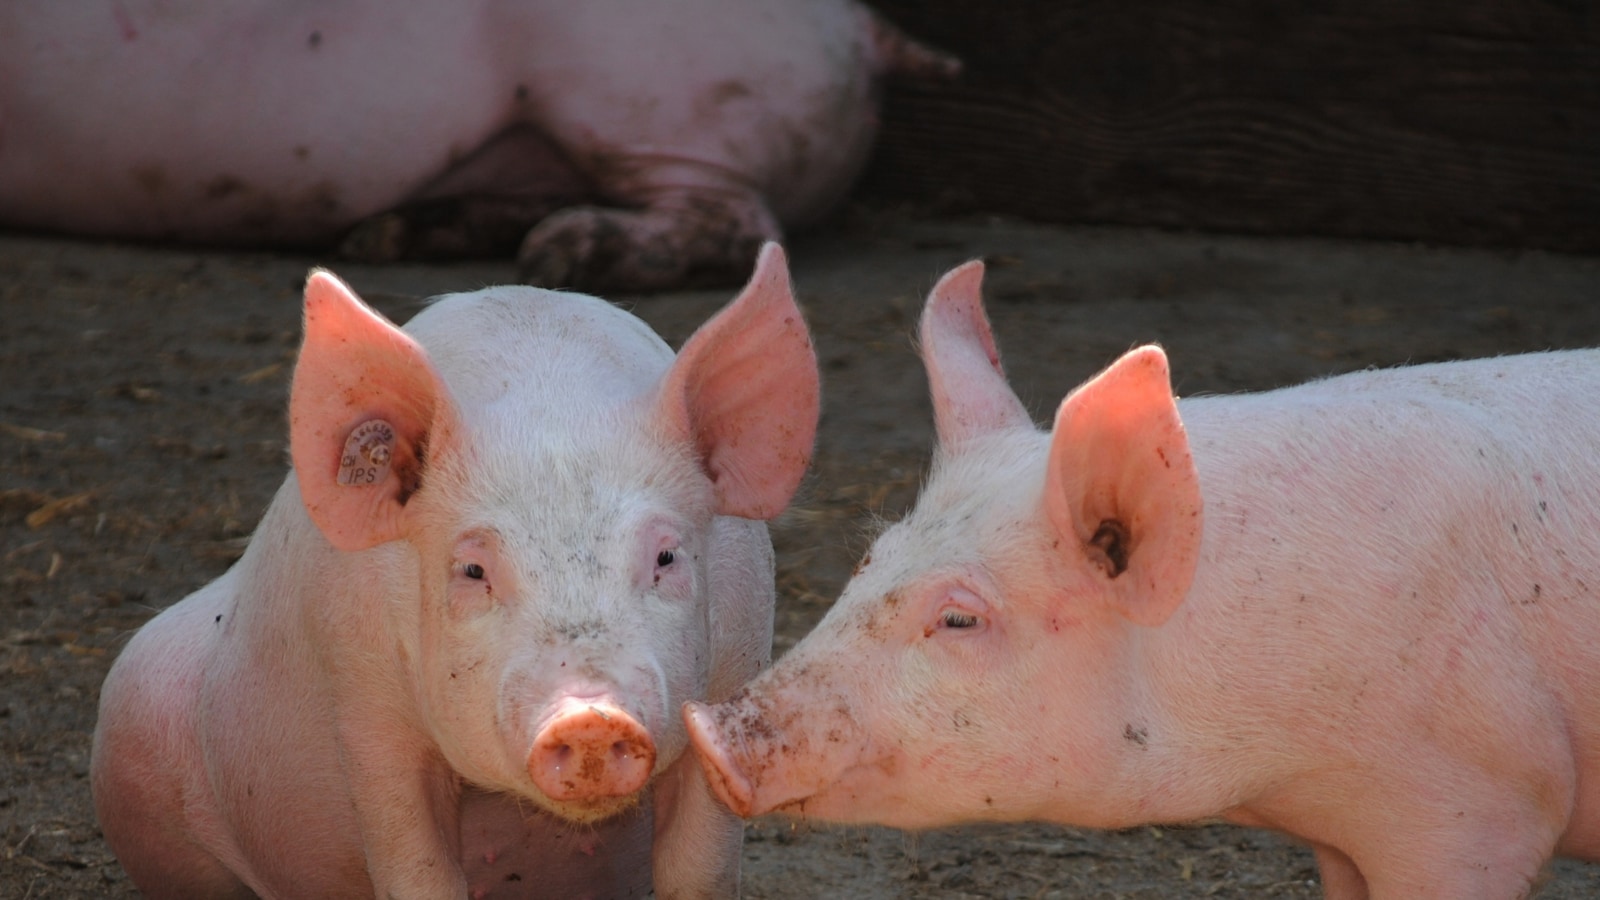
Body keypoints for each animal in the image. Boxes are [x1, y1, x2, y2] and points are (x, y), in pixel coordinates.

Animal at [91, 243, 819, 899]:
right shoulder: (365, 705)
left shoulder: (737, 656)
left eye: (666, 557)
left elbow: (701, 871)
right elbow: (415, 871)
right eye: (472, 569)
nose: (590, 718)